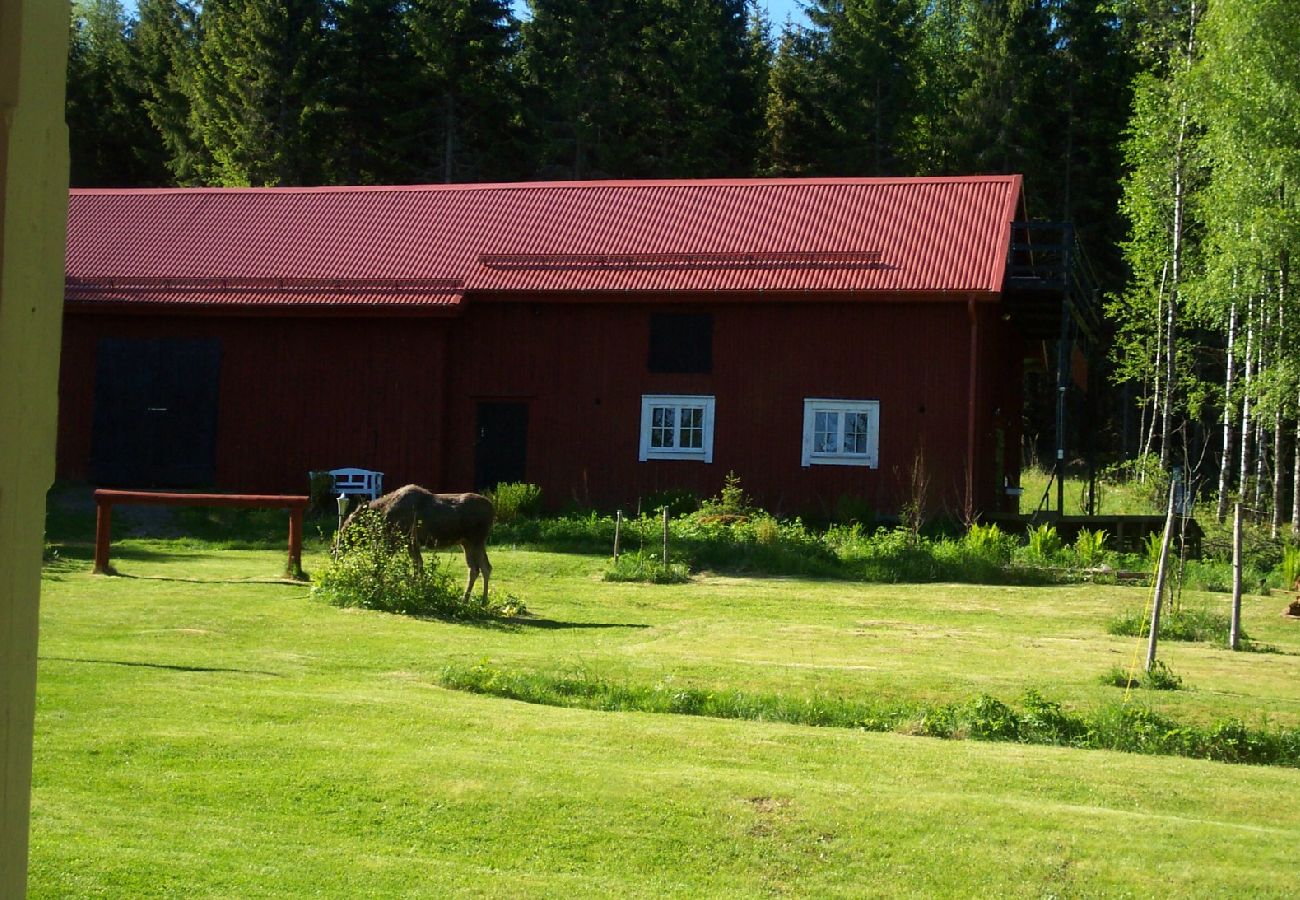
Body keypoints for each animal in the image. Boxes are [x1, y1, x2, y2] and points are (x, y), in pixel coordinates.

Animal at [343, 481, 493, 600]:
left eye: (352, 520)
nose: (336, 545)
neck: (383, 512)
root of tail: (493, 510)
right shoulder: (411, 543)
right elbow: (418, 565)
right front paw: (419, 589)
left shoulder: (400, 539)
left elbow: (385, 563)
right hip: (468, 542)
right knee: (481, 567)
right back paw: (473, 600)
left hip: (475, 540)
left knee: (480, 568)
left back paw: (477, 599)